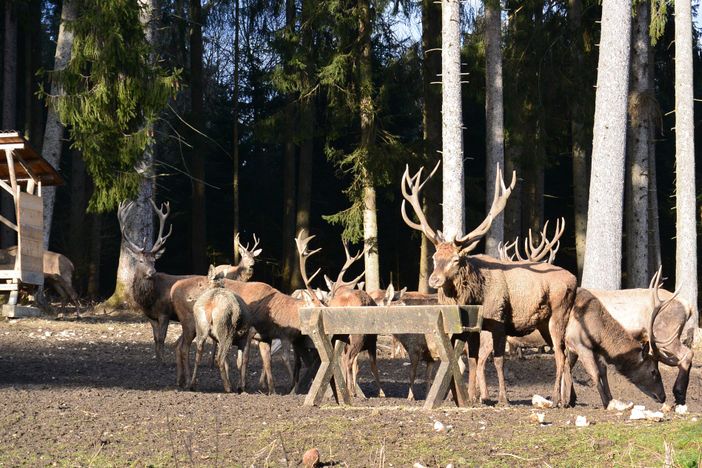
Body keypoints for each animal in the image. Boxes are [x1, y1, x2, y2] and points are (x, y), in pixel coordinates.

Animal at [402, 162, 576, 406]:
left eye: (456, 259)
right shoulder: (474, 326)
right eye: (435, 257)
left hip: (560, 313)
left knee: (561, 355)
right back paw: (567, 399)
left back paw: (556, 399)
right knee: (564, 353)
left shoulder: (499, 319)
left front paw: (503, 398)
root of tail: (574, 279)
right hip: (543, 323)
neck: (475, 297)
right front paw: (472, 397)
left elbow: (499, 360)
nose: (434, 279)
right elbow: (473, 359)